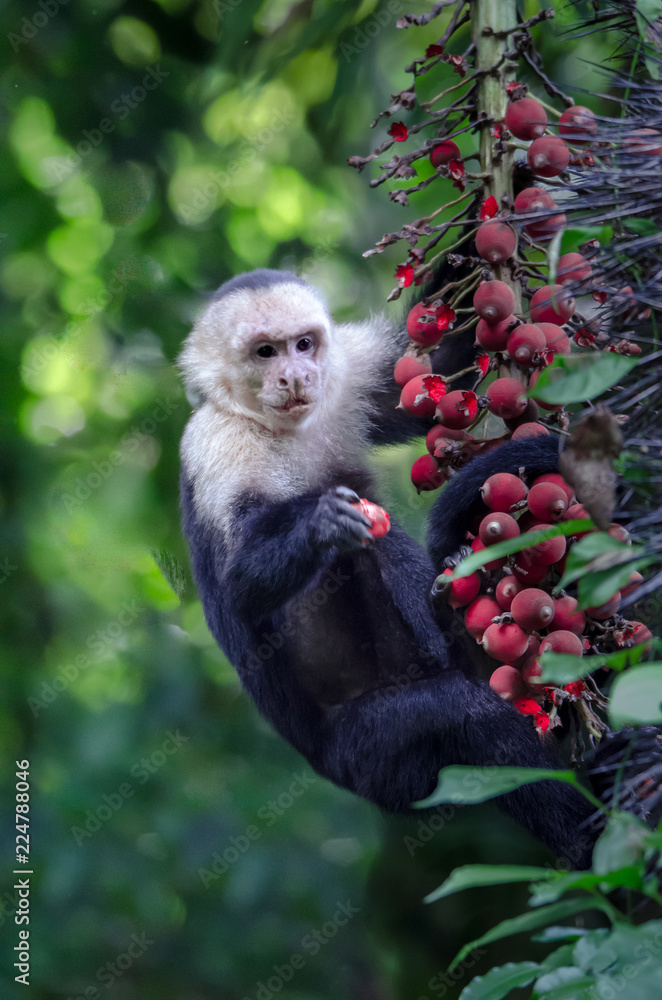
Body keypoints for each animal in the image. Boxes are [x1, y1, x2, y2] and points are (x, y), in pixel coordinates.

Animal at [178, 268, 602, 869]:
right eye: (265, 352)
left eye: (303, 344)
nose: (295, 376)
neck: (276, 427)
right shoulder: (217, 445)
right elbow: (239, 585)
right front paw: (321, 526)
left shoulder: (345, 377)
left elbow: (438, 358)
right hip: (374, 761)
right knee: (462, 717)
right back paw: (588, 838)